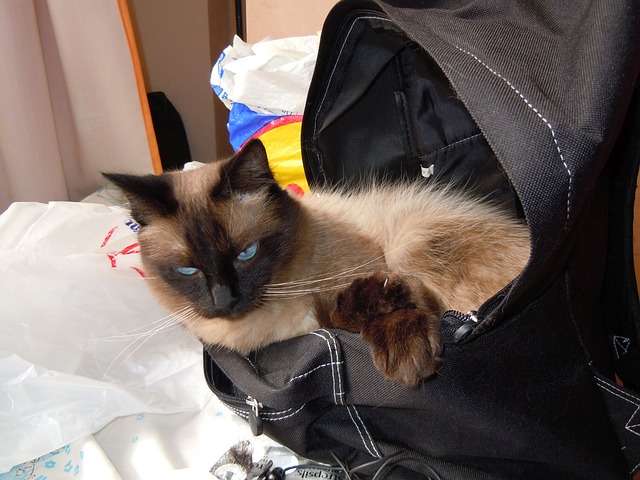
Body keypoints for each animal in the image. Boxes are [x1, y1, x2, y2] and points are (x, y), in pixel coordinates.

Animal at [105, 139, 528, 386]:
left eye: (246, 253)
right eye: (188, 270)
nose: (224, 300)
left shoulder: (377, 270)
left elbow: (381, 300)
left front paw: (406, 359)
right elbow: (340, 310)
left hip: (413, 244)